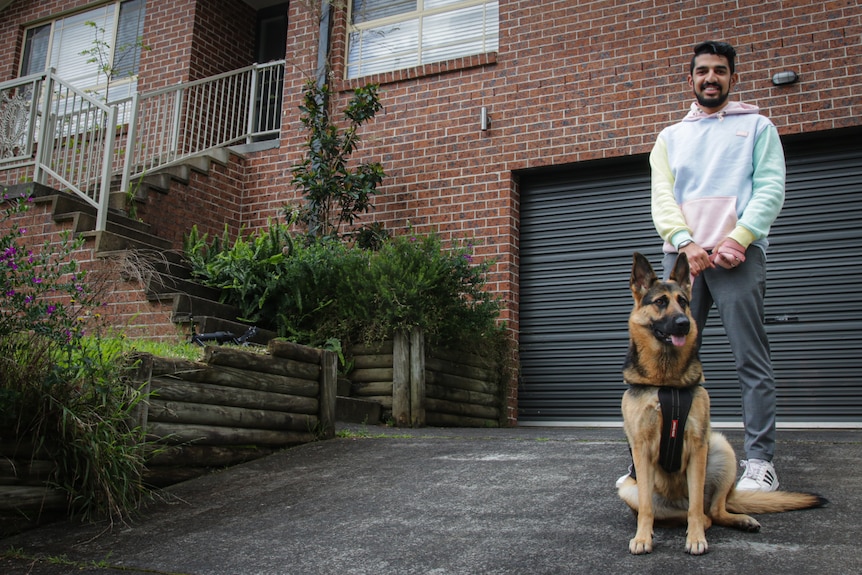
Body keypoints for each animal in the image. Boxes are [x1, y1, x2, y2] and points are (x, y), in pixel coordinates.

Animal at [616, 251, 828, 552]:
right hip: (629, 488)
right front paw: (643, 537)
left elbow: (696, 509)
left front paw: (695, 539)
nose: (684, 324)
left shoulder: (697, 445)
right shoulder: (642, 449)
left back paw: (737, 520)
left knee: (709, 511)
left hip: (719, 447)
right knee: (684, 513)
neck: (667, 382)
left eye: (683, 302)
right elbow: (646, 507)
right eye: (660, 302)